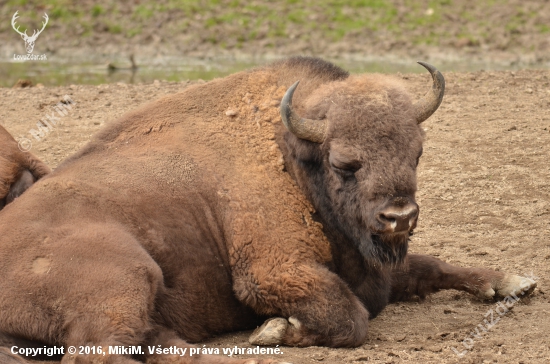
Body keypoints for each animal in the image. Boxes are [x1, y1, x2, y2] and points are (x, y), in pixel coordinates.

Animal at [0, 58, 536, 362]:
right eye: (345, 164)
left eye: (418, 152)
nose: (399, 216)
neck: (291, 154)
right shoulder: (272, 271)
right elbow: (351, 317)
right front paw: (275, 330)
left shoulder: (377, 263)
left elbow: (433, 266)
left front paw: (512, 282)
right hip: (127, 274)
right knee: (104, 352)